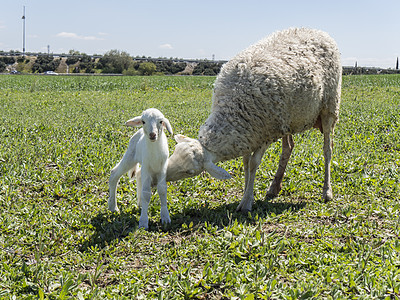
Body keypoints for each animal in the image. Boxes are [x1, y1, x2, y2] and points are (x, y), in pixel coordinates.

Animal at [165, 27, 340, 211]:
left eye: (189, 172)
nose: (161, 177)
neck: (233, 108)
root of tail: (317, 31)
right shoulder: (248, 134)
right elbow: (246, 163)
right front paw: (245, 193)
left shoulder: (265, 134)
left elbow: (253, 164)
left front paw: (247, 202)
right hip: (287, 119)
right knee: (288, 148)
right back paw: (274, 188)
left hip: (329, 107)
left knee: (327, 149)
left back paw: (327, 191)